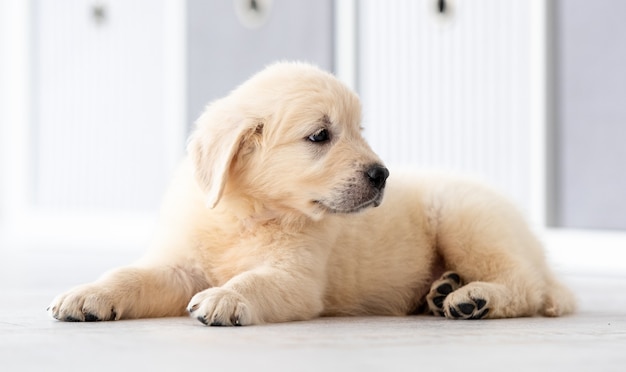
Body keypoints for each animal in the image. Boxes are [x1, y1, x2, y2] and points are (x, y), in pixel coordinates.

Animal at [48, 62, 576, 324]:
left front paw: (226, 298)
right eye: (321, 135)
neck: (249, 211)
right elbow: (131, 275)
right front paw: (88, 294)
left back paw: (473, 297)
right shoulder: (181, 265)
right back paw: (444, 289)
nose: (383, 174)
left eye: (359, 130)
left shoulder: (297, 277)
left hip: (468, 219)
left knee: (526, 285)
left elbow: (254, 281)